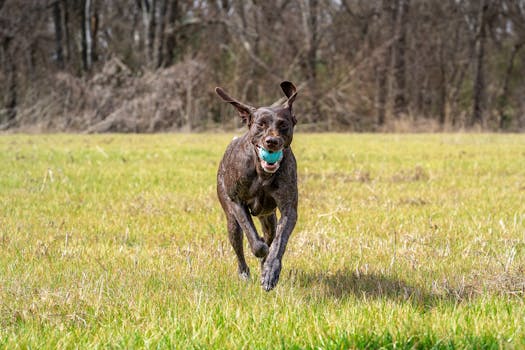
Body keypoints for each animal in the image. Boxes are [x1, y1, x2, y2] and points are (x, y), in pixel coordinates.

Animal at [214, 81, 296, 290]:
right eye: (261, 124)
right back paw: (244, 273)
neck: (262, 173)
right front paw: (261, 250)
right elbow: (257, 243)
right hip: (230, 219)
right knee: (239, 244)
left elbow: (278, 244)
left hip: (268, 219)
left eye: (283, 124)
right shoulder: (236, 202)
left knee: (270, 234)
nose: (272, 141)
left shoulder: (288, 209)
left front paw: (270, 271)